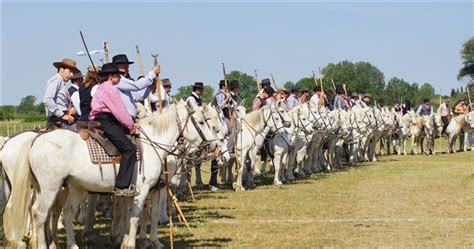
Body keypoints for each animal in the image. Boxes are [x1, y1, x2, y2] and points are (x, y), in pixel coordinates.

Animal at [4, 101, 216, 249]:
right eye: (202, 122)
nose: (214, 145)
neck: (150, 145)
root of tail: (35, 140)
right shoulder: (144, 190)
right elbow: (136, 217)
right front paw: (131, 244)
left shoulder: (131, 193)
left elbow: (129, 216)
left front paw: (124, 241)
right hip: (50, 188)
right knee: (40, 214)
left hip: (63, 188)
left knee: (60, 213)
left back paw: (71, 244)